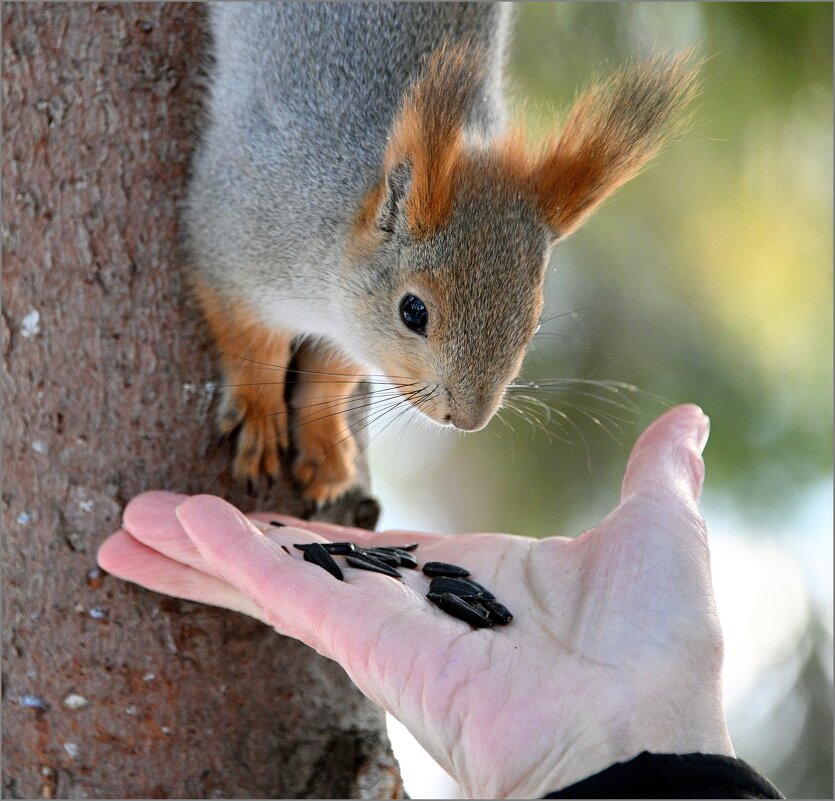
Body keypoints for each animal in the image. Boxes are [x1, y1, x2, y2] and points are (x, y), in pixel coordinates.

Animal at [186, 3, 704, 504]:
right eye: (413, 311)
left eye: (533, 322)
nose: (470, 419)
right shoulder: (234, 240)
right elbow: (253, 346)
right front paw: (260, 418)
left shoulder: (351, 330)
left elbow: (331, 377)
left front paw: (323, 445)